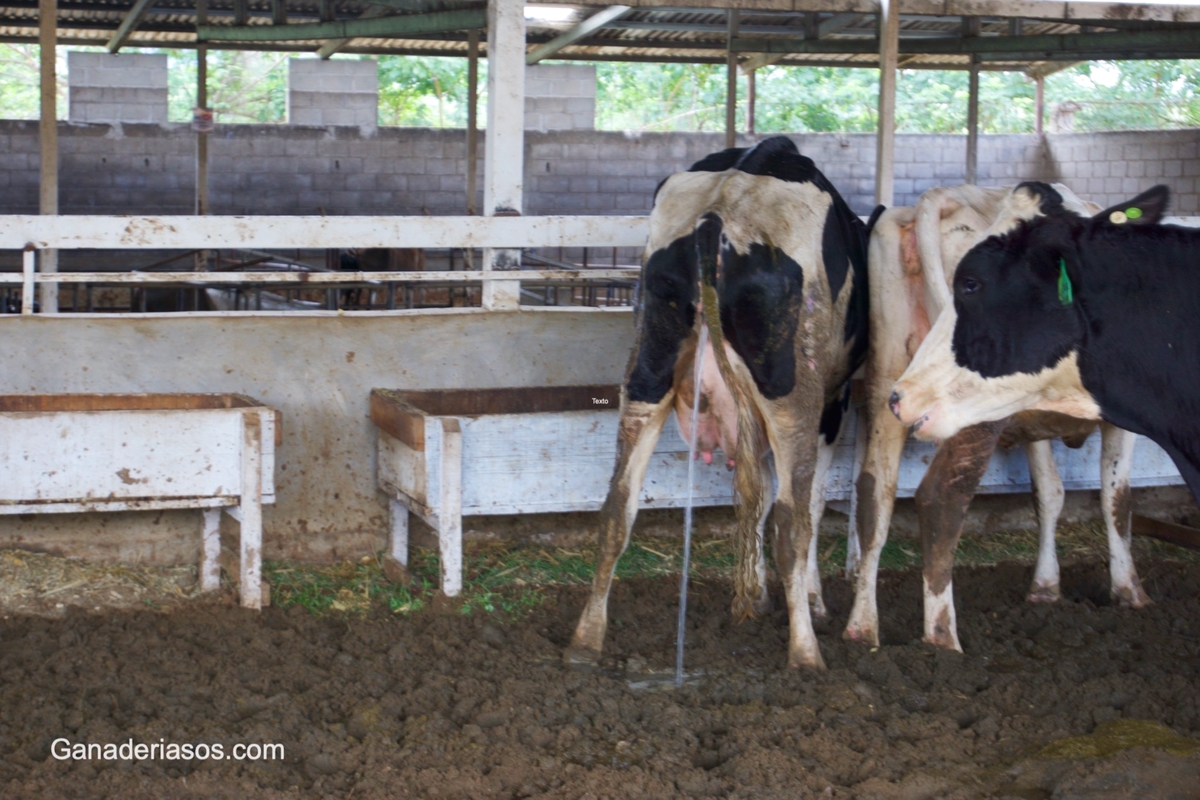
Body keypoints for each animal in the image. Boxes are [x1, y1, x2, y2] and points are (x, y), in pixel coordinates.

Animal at [561, 137, 873, 671]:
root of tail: (720, 211)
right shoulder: (834, 402)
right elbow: (804, 501)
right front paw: (810, 600)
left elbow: (758, 493)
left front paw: (759, 595)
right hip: (791, 392)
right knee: (793, 520)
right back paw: (806, 652)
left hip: (648, 368)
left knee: (618, 502)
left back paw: (585, 640)